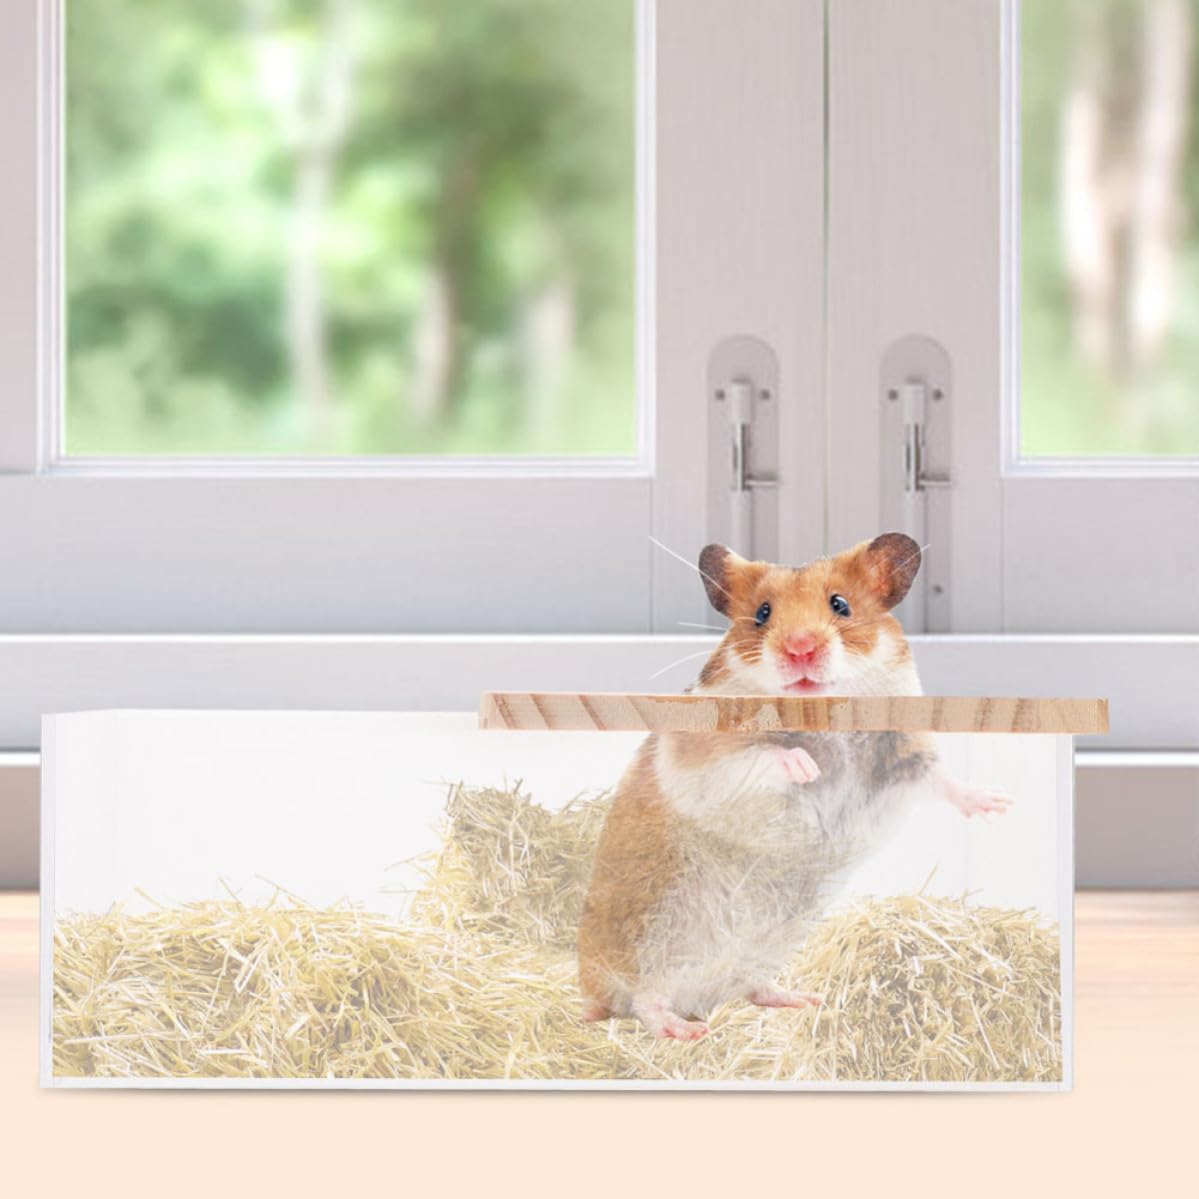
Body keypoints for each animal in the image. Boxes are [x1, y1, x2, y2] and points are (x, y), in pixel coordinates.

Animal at [577, 532, 1011, 1040]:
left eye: (840, 604)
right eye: (762, 613)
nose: (800, 649)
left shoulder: (903, 749)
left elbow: (940, 777)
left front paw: (997, 805)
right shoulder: (705, 751)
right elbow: (759, 756)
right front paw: (806, 767)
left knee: (750, 987)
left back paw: (800, 999)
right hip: (652, 938)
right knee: (644, 1001)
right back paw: (684, 1030)